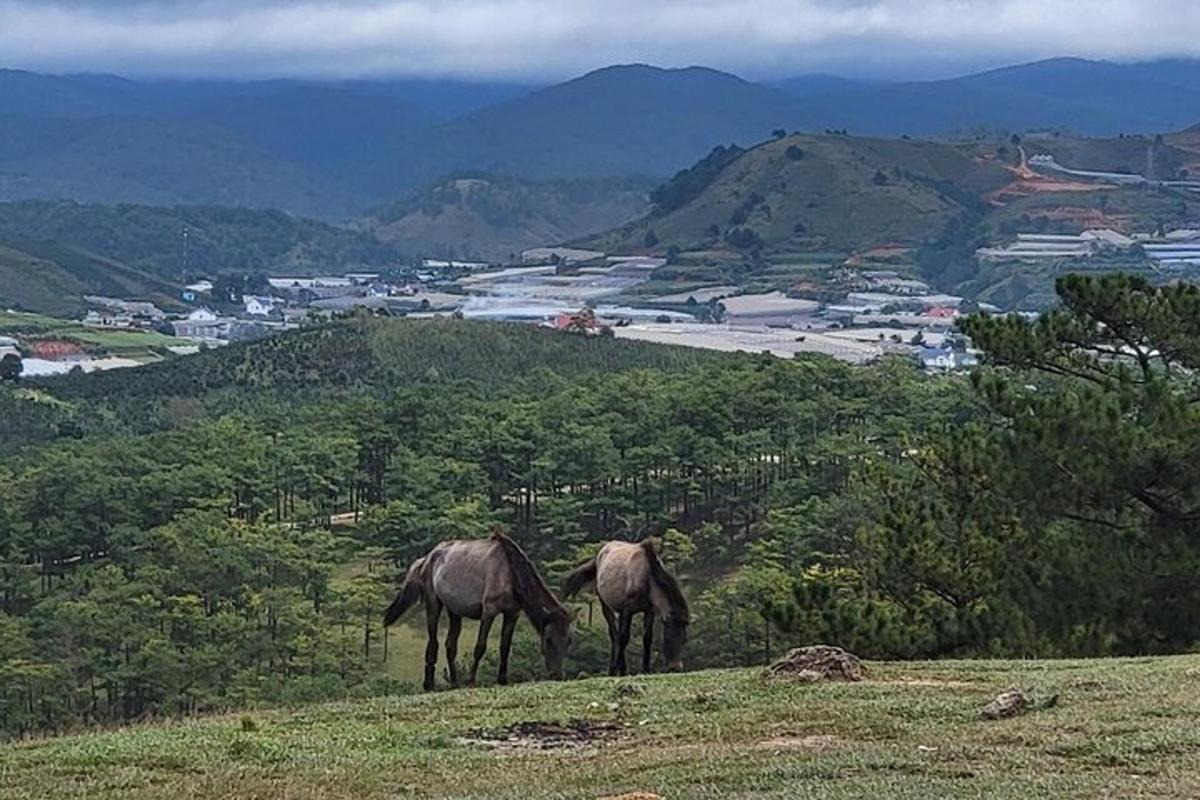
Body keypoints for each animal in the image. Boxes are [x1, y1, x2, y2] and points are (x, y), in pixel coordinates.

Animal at [384, 527, 571, 690]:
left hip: (454, 611)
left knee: (450, 645)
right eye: (548, 639)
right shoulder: (489, 611)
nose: (557, 675)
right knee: (433, 643)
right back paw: (429, 685)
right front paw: (471, 681)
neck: (510, 573)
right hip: (433, 603)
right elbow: (480, 647)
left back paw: (454, 683)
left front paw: (502, 679)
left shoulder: (512, 613)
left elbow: (505, 647)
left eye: (567, 641)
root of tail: (425, 559)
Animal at [559, 537, 691, 676]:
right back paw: (613, 669)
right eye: (668, 637)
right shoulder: (628, 610)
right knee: (614, 634)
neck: (646, 578)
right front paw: (622, 669)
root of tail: (600, 554)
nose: (675, 667)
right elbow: (624, 637)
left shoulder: (649, 611)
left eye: (684, 639)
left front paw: (645, 669)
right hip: (606, 606)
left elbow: (647, 638)